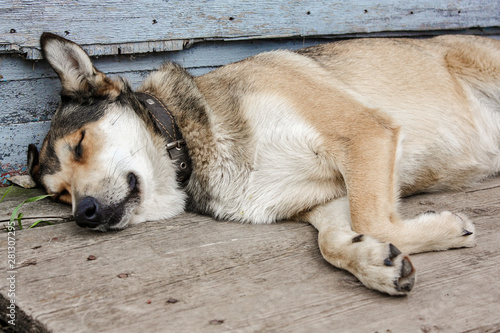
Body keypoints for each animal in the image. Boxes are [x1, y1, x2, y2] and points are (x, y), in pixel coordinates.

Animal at [28, 33, 500, 294]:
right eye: (61, 195)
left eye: (80, 145)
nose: (85, 214)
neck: (193, 141)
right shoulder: (325, 200)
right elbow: (332, 241)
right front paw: (375, 261)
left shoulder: (364, 132)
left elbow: (374, 219)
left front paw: (441, 230)